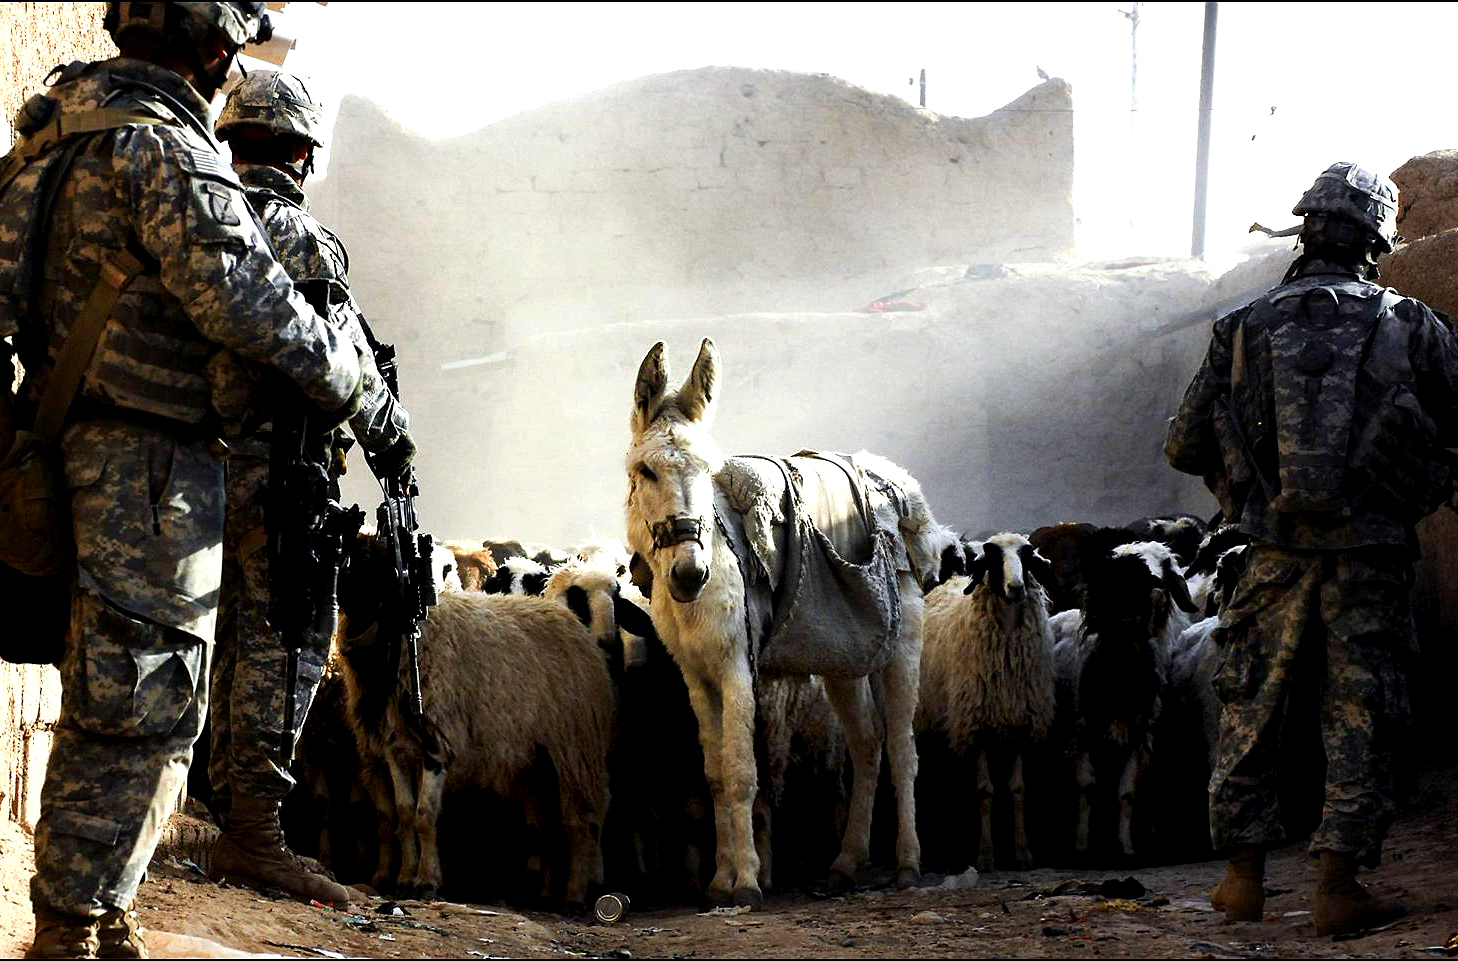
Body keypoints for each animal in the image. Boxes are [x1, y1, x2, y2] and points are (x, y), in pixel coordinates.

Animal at [334, 534, 614, 909]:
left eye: (369, 563)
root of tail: (570, 621)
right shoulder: (396, 747)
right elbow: (404, 813)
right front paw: (405, 878)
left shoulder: (437, 742)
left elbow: (425, 815)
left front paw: (426, 882)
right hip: (535, 759)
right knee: (544, 822)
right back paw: (545, 892)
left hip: (575, 745)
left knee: (580, 821)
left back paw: (575, 896)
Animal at [915, 532, 1056, 871]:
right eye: (993, 559)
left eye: (1026, 556)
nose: (1016, 587)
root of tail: (948, 582)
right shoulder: (975, 728)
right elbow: (984, 792)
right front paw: (986, 855)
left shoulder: (1022, 725)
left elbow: (1018, 790)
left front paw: (1022, 853)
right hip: (930, 723)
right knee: (931, 781)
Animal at [1052, 529, 1200, 861]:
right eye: (1123, 576)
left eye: (1166, 566)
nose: (1156, 593)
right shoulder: (1082, 732)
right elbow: (1088, 787)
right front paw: (1081, 844)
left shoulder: (1140, 734)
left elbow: (1127, 792)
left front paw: (1126, 846)